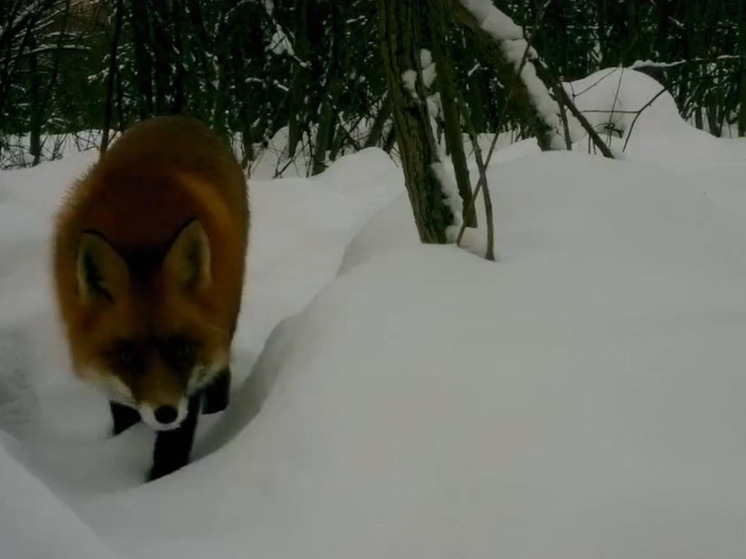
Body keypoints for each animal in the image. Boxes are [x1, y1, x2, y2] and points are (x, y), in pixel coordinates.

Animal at [53, 115, 250, 482]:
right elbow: (122, 410)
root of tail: (178, 118)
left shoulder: (193, 376)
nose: (165, 413)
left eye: (182, 349)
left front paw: (162, 480)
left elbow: (176, 439)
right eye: (127, 355)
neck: (140, 234)